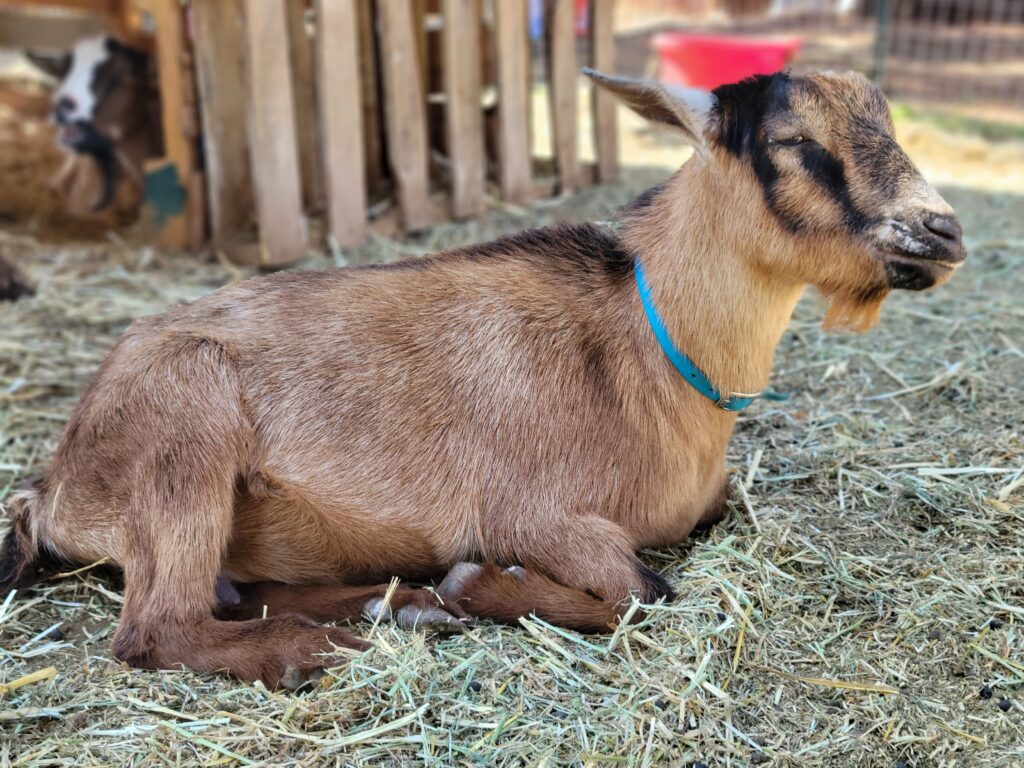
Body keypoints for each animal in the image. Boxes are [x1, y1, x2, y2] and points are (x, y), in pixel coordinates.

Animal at [0, 69, 962, 688]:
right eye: (793, 143)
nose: (940, 230)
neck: (643, 345)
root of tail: (58, 484)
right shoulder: (532, 513)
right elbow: (643, 591)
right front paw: (479, 585)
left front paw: (448, 593)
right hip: (185, 426)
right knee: (156, 627)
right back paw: (328, 646)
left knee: (235, 593)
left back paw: (393, 604)